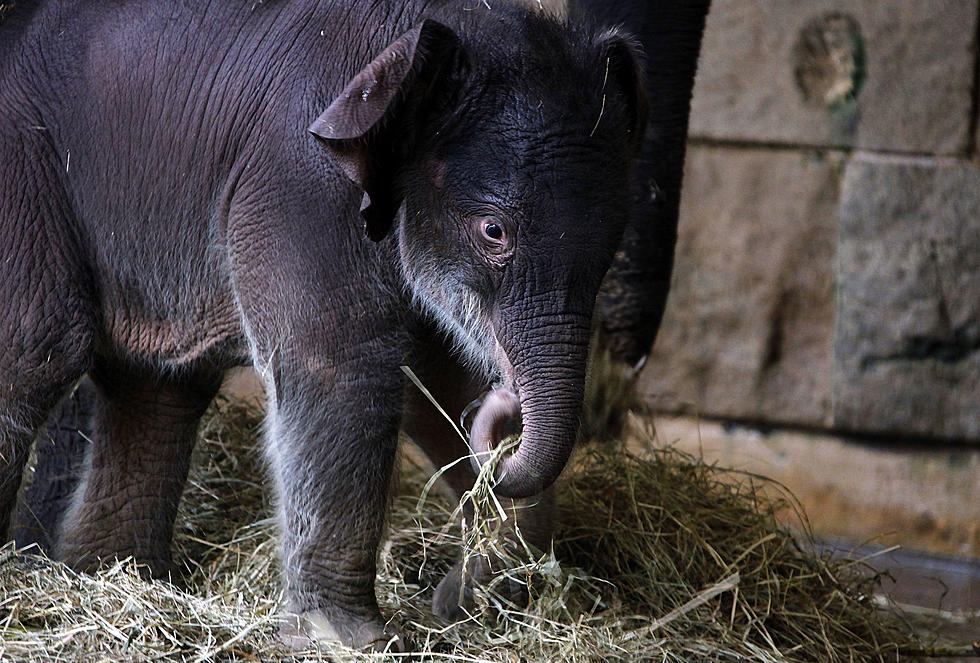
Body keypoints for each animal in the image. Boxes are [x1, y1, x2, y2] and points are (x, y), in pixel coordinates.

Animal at [3, 0, 652, 652]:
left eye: (615, 241)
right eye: (493, 232)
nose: (505, 411)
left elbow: (431, 383)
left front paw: (473, 605)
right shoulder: (301, 188)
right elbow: (347, 367)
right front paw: (348, 640)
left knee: (157, 388)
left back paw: (113, 577)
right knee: (39, 347)